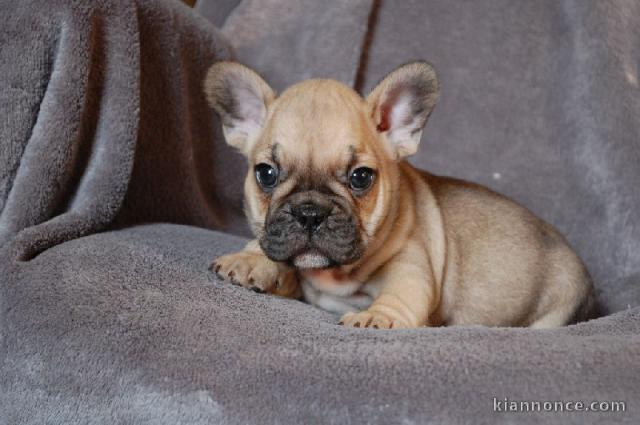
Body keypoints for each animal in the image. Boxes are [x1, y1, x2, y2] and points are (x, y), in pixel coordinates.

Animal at [204, 61, 596, 330]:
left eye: (361, 177)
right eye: (266, 174)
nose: (310, 212)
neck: (331, 275)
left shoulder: (411, 261)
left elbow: (404, 290)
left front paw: (377, 317)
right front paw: (252, 260)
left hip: (560, 302)